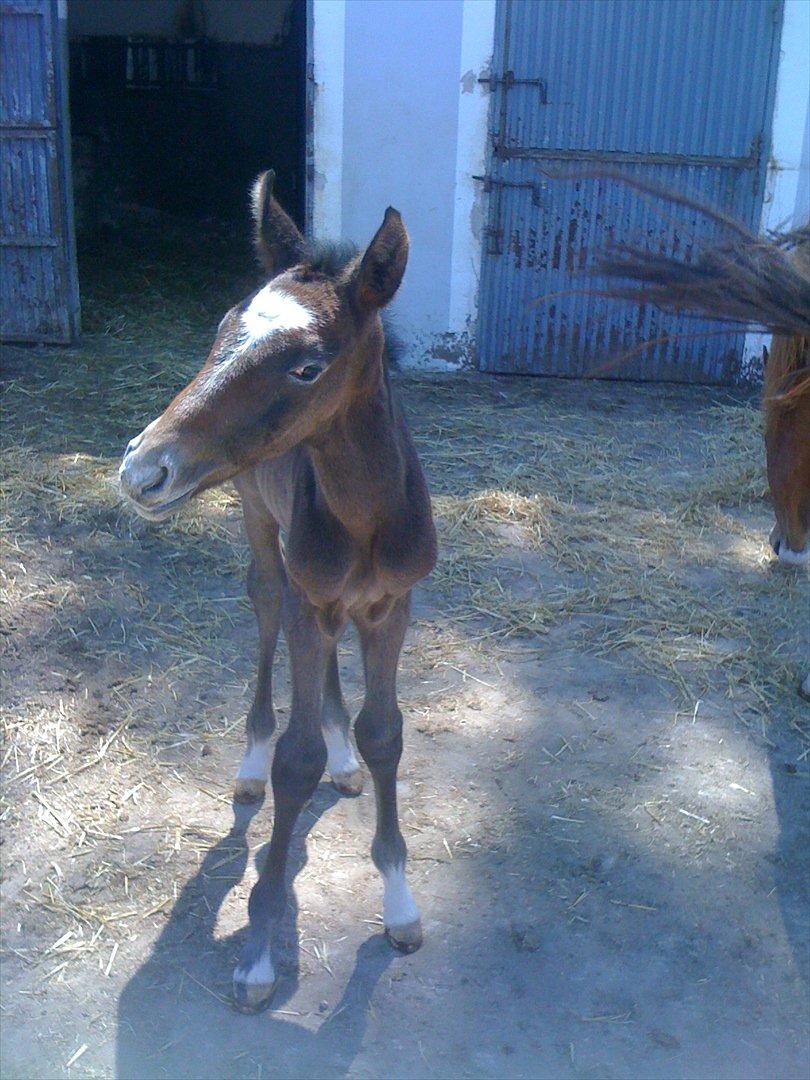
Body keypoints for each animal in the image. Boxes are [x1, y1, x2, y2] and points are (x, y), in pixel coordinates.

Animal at [117, 172, 438, 1006]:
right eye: (221, 328)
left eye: (307, 366)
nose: (142, 467)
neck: (364, 518)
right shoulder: (305, 596)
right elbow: (296, 761)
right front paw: (260, 945)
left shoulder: (393, 605)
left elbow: (385, 733)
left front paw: (399, 902)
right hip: (261, 526)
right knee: (262, 608)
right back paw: (250, 764)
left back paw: (343, 759)